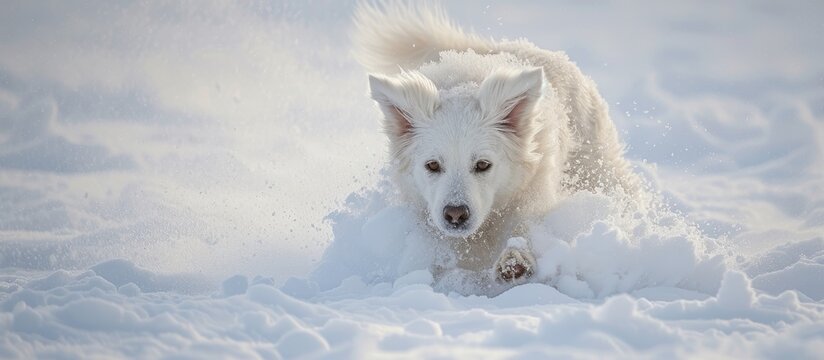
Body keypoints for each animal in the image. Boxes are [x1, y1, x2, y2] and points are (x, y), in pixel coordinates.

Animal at [352, 1, 636, 292]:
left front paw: (515, 260)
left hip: (595, 166)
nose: (455, 214)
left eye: (482, 165)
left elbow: (523, 224)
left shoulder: (532, 188)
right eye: (432, 165)